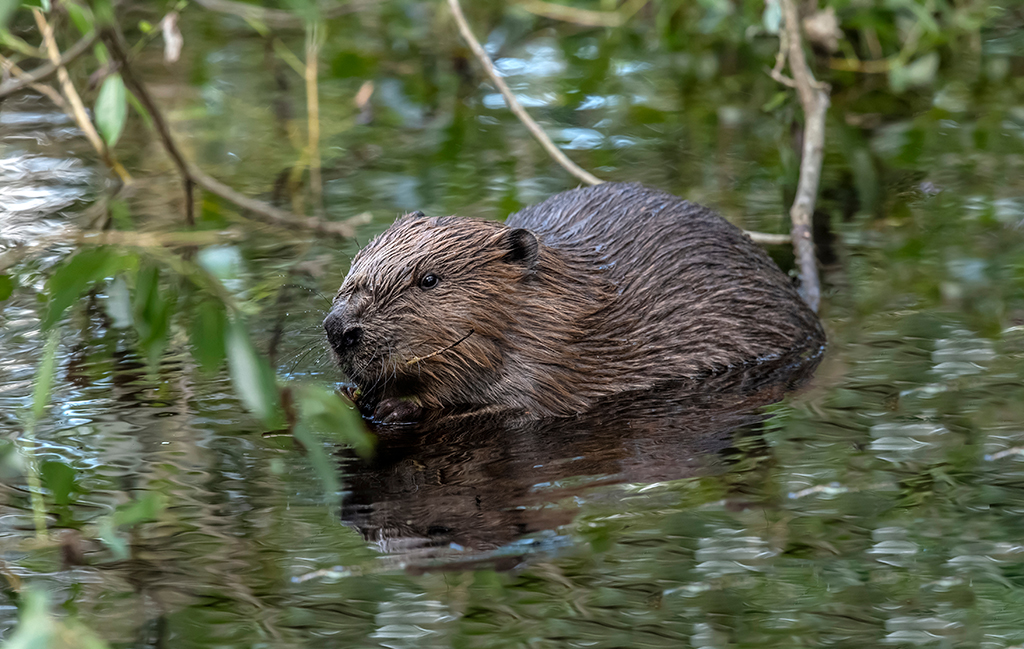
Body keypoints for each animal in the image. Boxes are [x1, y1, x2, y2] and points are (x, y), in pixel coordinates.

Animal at [325, 181, 823, 419]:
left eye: (428, 279)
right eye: (355, 262)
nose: (338, 328)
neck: (560, 300)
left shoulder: (553, 359)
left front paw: (393, 406)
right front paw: (354, 395)